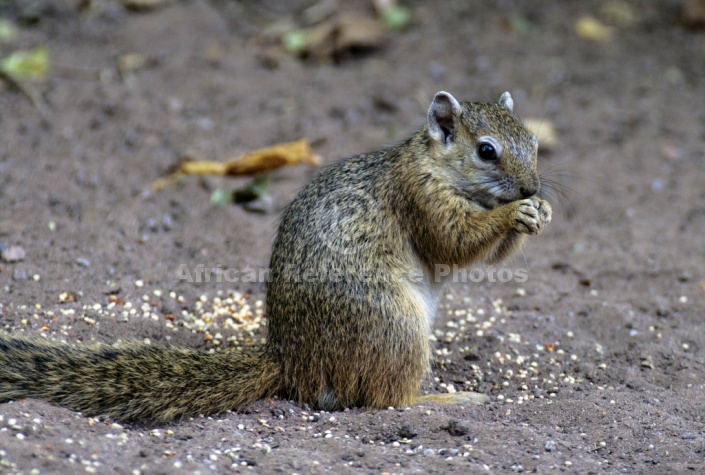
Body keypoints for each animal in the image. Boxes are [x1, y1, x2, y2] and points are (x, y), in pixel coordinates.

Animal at [0, 92, 552, 424]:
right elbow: (451, 241)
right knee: (386, 399)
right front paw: (514, 213)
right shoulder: (419, 196)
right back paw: (445, 399)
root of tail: (292, 361)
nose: (531, 187)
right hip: (393, 323)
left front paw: (538, 212)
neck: (433, 162)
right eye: (486, 151)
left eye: (533, 141)